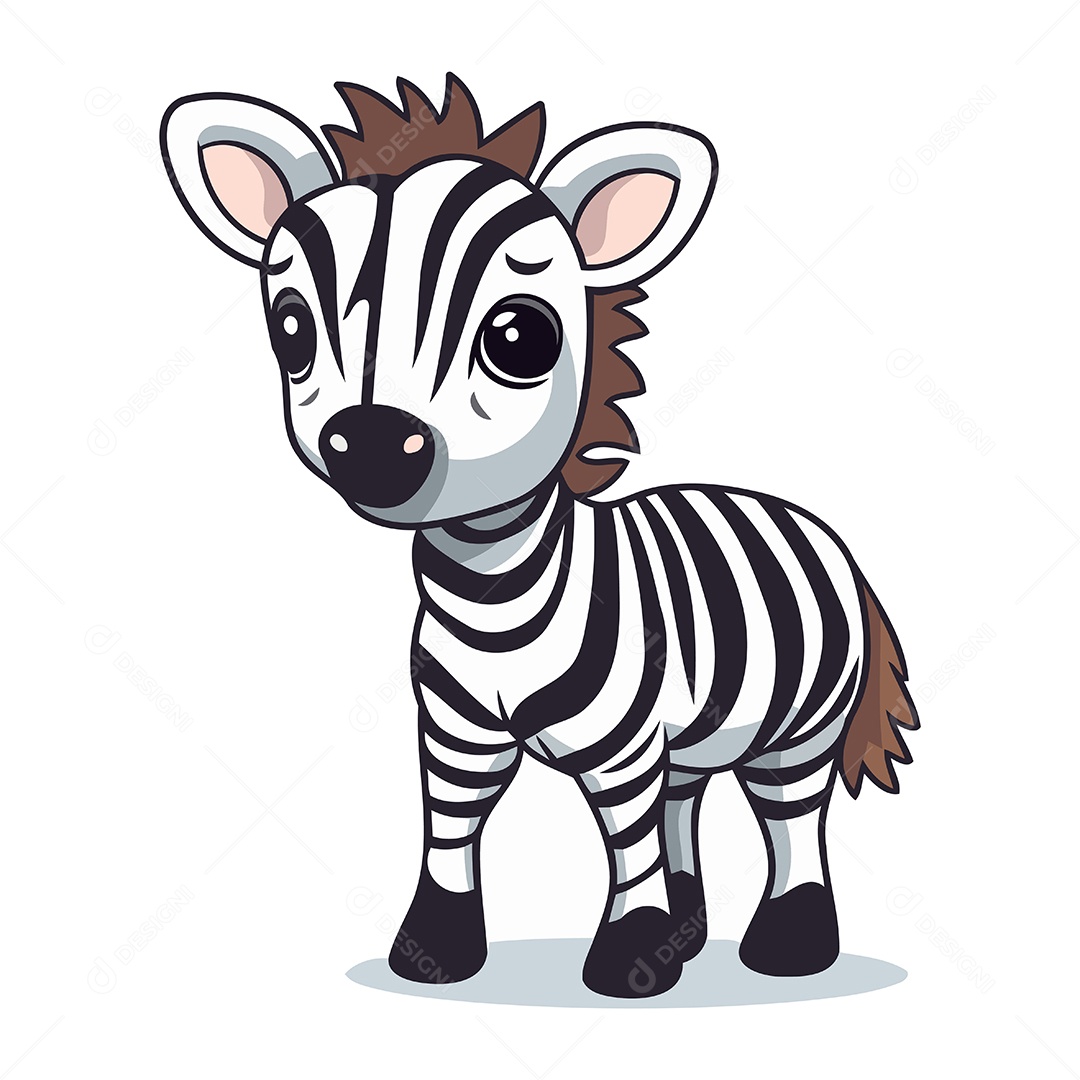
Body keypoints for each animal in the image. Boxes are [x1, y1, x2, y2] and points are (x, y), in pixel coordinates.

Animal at [161, 74, 919, 998]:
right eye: (293, 328)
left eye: (519, 337)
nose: (372, 444)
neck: (495, 596)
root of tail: (806, 519)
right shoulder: (458, 738)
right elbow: (451, 835)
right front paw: (438, 952)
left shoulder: (625, 746)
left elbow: (625, 844)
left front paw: (629, 961)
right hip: (694, 736)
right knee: (685, 801)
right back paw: (691, 937)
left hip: (800, 727)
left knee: (790, 818)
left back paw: (789, 946)